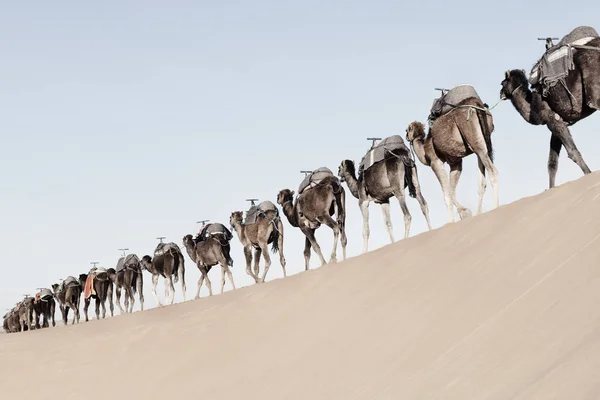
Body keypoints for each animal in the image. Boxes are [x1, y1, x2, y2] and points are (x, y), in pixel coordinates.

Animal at [406, 94, 500, 223]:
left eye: (407, 130)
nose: (406, 137)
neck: (425, 149)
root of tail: (475, 103)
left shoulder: (435, 162)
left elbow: (446, 194)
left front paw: (453, 220)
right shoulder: (456, 162)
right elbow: (451, 190)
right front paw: (464, 212)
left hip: (472, 136)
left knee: (493, 171)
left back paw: (496, 208)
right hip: (483, 140)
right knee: (482, 180)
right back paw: (478, 213)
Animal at [496, 29, 600, 188]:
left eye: (502, 83)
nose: (500, 93)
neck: (533, 106)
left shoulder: (552, 121)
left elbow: (572, 152)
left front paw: (589, 174)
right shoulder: (558, 123)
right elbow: (552, 163)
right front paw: (551, 189)